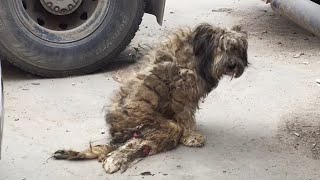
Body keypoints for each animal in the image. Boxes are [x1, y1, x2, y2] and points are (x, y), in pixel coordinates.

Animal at [52, 23, 249, 174]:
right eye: (222, 48)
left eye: (236, 49)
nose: (233, 65)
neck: (198, 55)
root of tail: (115, 131)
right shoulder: (182, 95)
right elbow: (186, 117)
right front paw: (192, 136)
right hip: (162, 125)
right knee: (129, 147)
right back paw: (112, 162)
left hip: (151, 134)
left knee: (137, 145)